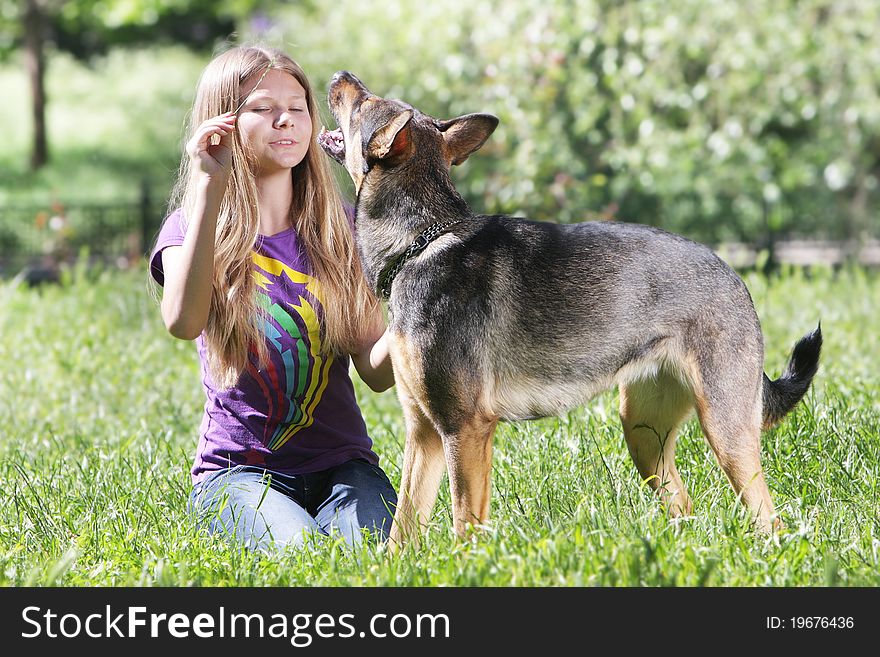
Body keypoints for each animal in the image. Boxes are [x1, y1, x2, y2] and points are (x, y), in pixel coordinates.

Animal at [320, 70, 820, 544]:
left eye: (363, 101)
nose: (340, 75)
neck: (421, 243)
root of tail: (735, 277)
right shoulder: (424, 432)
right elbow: (402, 532)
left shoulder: (465, 429)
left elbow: (465, 524)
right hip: (643, 433)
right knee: (684, 506)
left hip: (726, 431)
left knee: (767, 517)